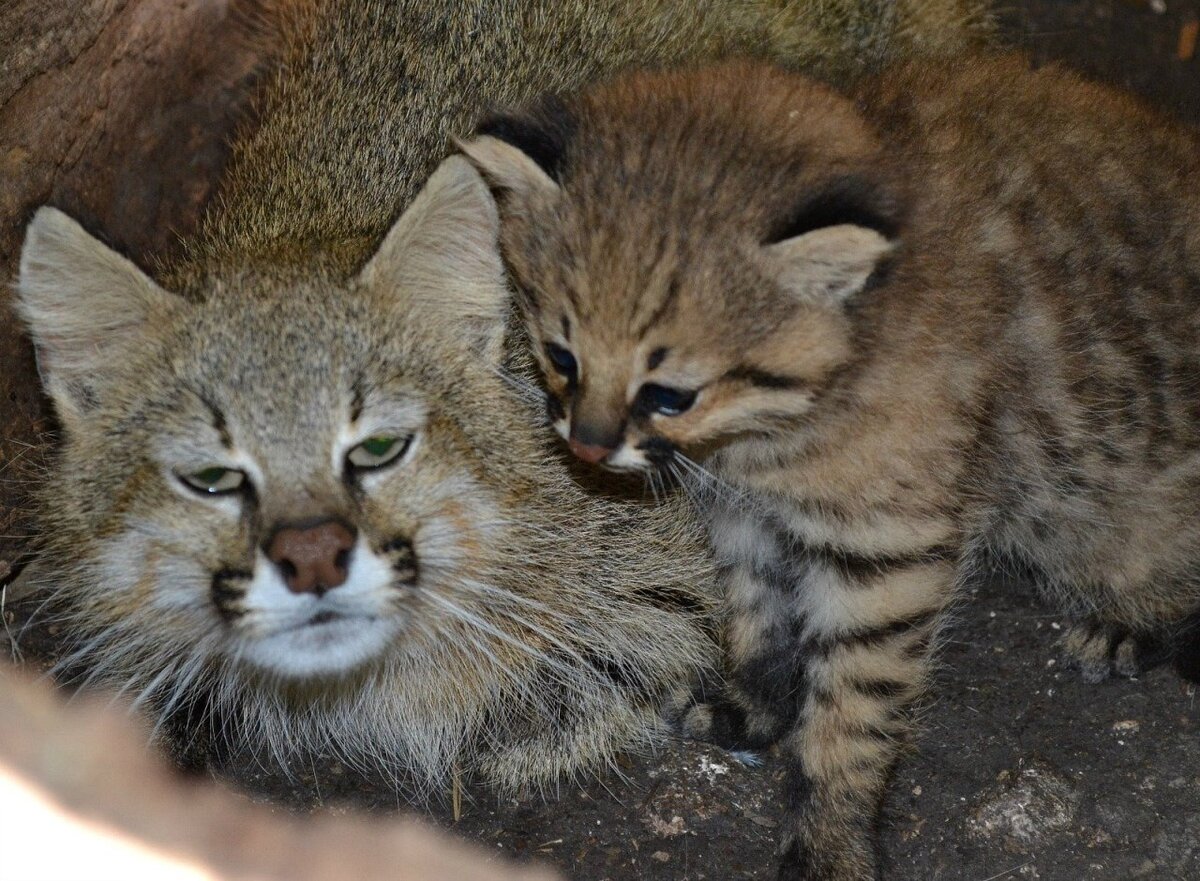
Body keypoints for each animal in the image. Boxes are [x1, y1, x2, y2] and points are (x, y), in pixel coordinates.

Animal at [463, 57, 1200, 881]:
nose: (587, 448)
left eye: (669, 394)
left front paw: (831, 833)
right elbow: (754, 611)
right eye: (563, 357)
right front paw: (756, 701)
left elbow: (854, 706)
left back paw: (1138, 621)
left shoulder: (889, 550)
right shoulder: (744, 512)